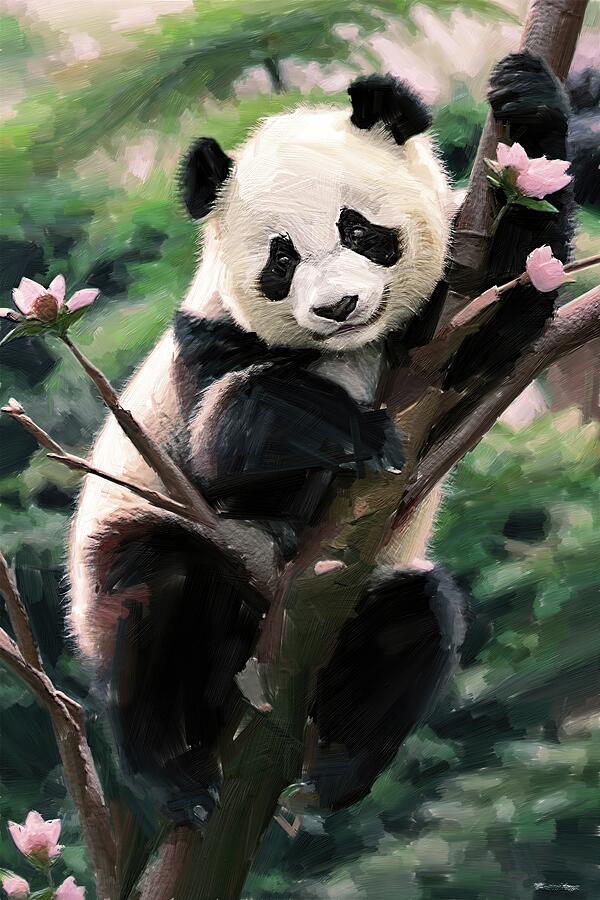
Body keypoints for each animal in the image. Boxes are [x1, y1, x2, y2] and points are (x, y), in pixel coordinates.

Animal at [68, 53, 573, 828]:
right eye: (281, 262)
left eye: (359, 231)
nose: (338, 307)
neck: (354, 350)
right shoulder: (204, 353)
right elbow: (227, 441)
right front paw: (358, 433)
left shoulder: (442, 324)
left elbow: (510, 308)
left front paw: (530, 102)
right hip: (133, 547)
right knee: (150, 604)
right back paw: (174, 778)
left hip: (359, 604)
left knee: (416, 621)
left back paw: (334, 772)